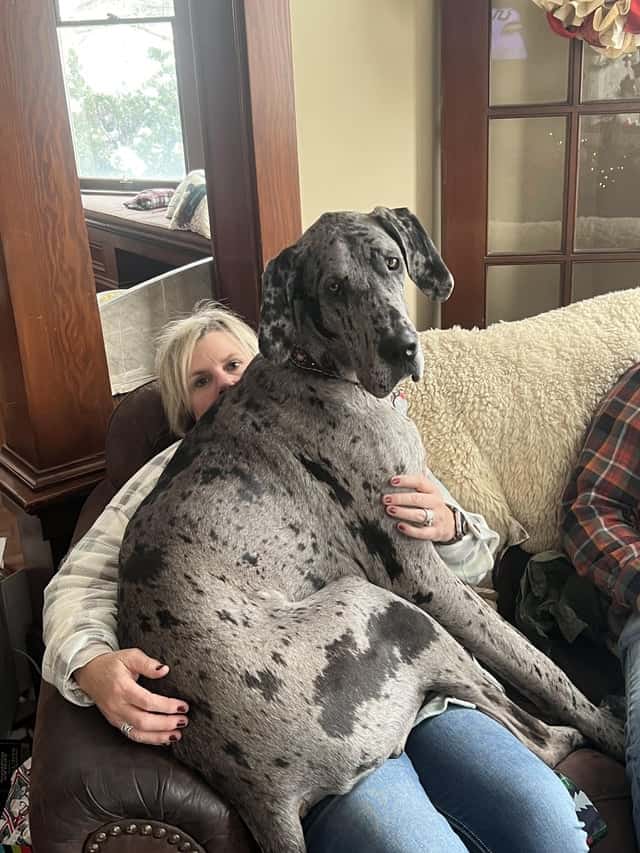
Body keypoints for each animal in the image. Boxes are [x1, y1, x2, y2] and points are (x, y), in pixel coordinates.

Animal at [117, 206, 624, 852]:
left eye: (392, 262)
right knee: (528, 728)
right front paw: (608, 726)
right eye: (334, 287)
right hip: (392, 613)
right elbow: (536, 663)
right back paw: (579, 732)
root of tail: (257, 792)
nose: (402, 347)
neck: (319, 370)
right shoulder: (422, 581)